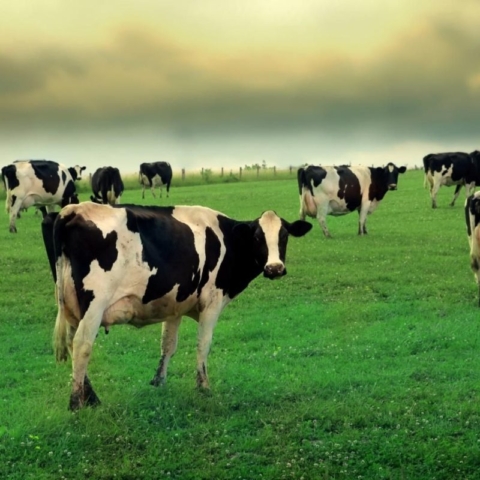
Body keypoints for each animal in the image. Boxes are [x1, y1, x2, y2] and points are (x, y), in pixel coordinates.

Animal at [40, 202, 312, 408]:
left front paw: (158, 382)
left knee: (72, 342)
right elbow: (203, 344)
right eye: (257, 237)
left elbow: (168, 345)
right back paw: (76, 403)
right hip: (94, 304)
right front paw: (203, 386)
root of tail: (73, 209)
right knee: (82, 345)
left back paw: (91, 397)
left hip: (71, 306)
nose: (275, 268)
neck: (228, 240)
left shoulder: (175, 305)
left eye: (284, 236)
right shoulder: (212, 302)